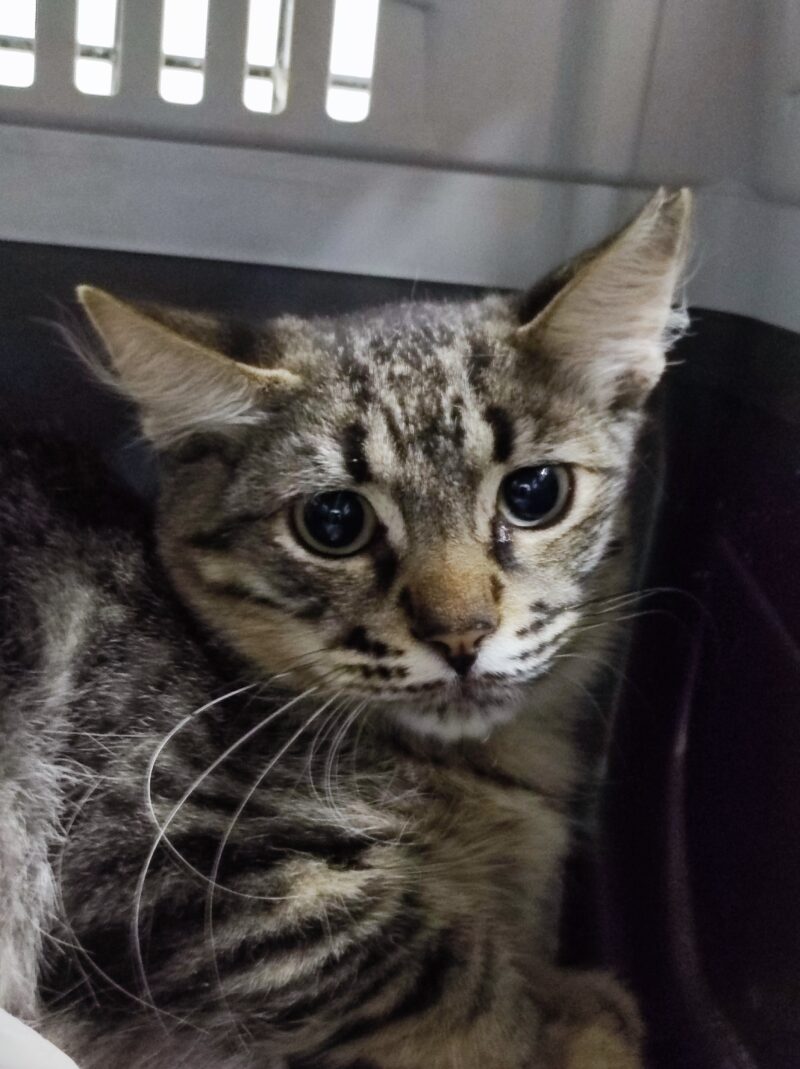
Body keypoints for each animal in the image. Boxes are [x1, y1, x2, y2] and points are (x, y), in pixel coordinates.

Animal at [0, 188, 688, 1064]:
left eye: (534, 493)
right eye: (334, 522)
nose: (461, 634)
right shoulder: (160, 859)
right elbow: (442, 969)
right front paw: (570, 1026)